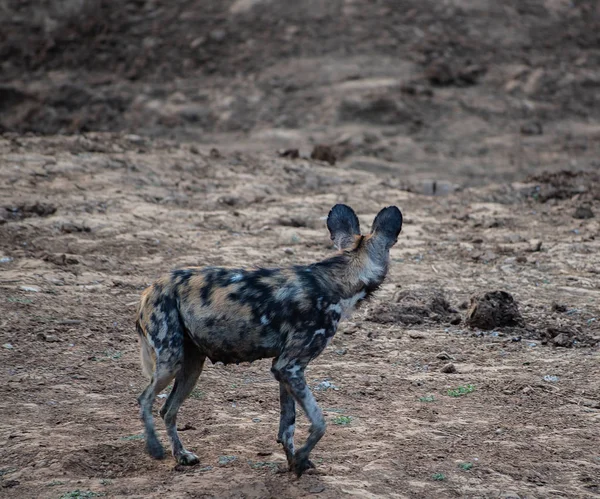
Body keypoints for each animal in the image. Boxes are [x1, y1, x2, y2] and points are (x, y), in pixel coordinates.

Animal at [136, 203, 404, 476]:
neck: (342, 276)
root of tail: (151, 288)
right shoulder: (290, 366)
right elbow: (319, 422)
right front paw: (300, 459)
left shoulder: (285, 369)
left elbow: (288, 427)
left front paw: (295, 462)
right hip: (170, 363)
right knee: (145, 399)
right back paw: (155, 449)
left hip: (191, 367)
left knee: (167, 409)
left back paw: (181, 455)